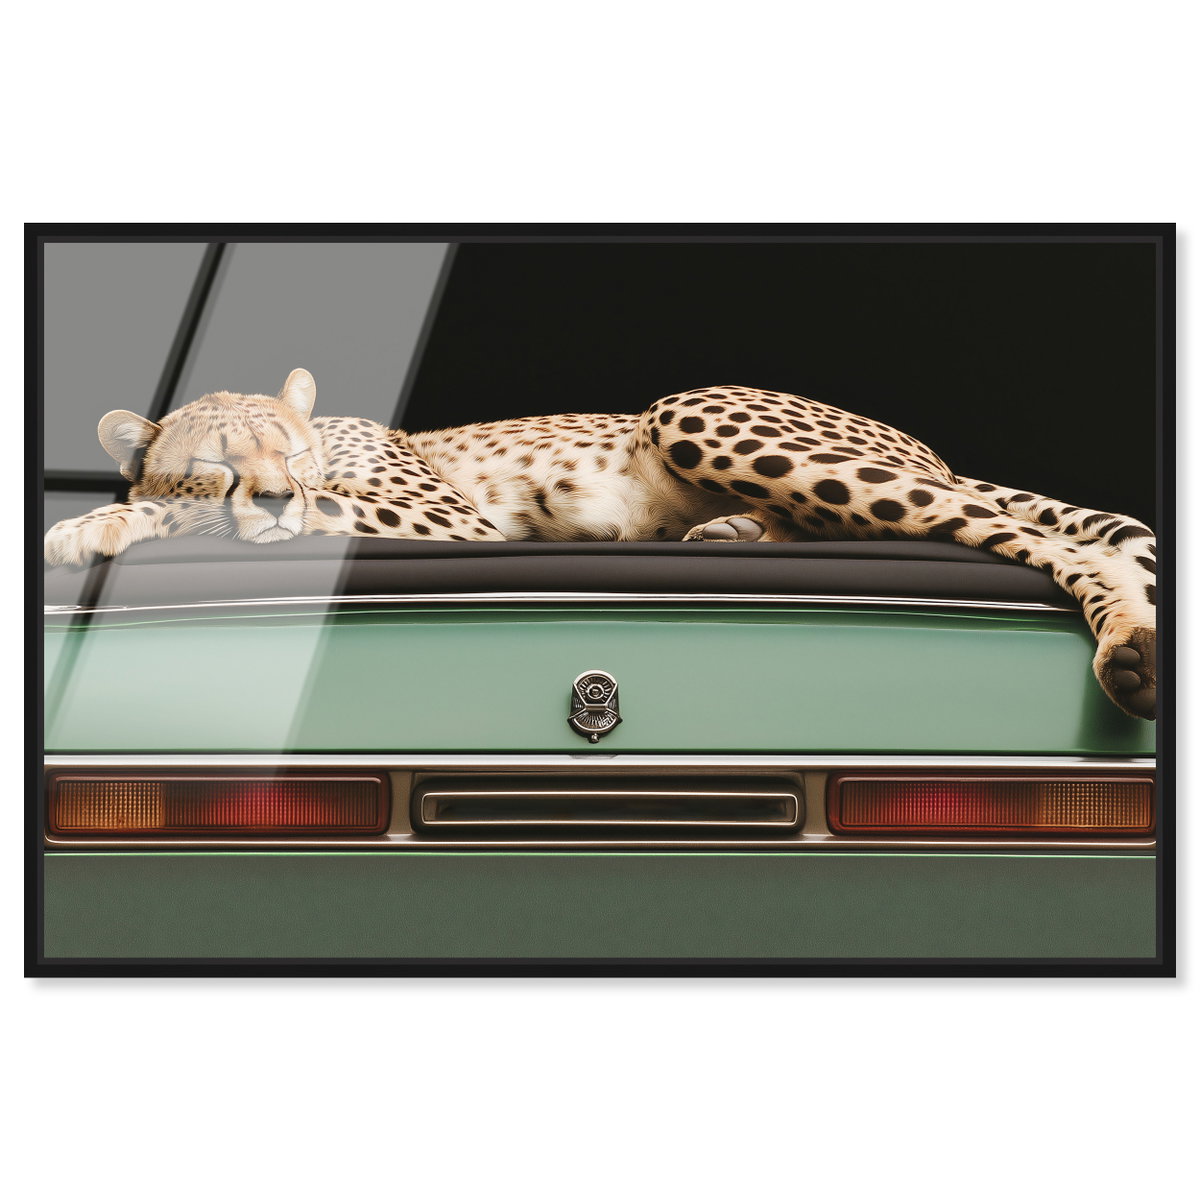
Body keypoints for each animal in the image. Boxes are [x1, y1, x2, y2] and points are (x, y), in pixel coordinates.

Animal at [44, 367, 1158, 720]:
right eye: (214, 458)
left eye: (292, 449)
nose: (274, 497)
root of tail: (933, 447)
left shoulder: (452, 524)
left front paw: (88, 525)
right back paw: (727, 529)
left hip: (696, 411)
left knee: (1025, 533)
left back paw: (1132, 648)